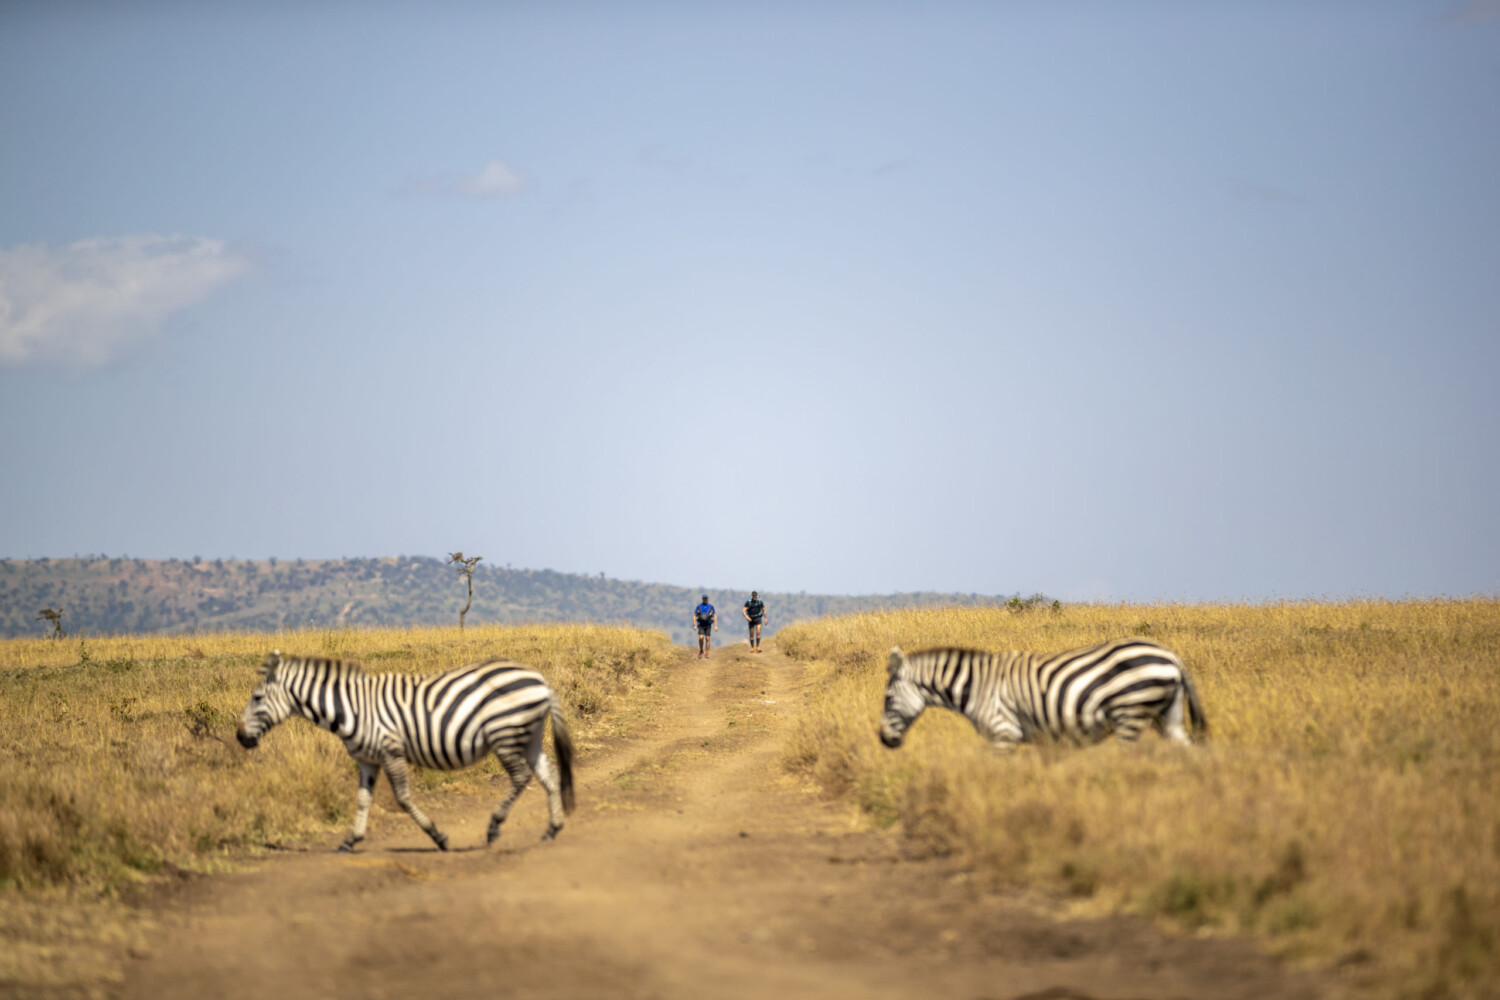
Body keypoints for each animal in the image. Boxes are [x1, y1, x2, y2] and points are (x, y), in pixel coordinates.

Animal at [237, 650, 576, 851]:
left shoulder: (391, 752)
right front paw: (351, 840)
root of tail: (541, 680)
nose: (240, 738)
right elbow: (363, 799)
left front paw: (438, 837)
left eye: (256, 698)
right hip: (529, 734)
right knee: (548, 775)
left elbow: (402, 798)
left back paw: (494, 828)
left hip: (504, 733)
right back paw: (553, 828)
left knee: (520, 777)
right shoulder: (366, 760)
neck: (351, 709)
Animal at [876, 641, 1206, 749]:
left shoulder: (1004, 733)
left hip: (1131, 713)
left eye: (888, 698)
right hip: (1168, 716)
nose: (883, 740)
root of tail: (1173, 657)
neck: (976, 686)